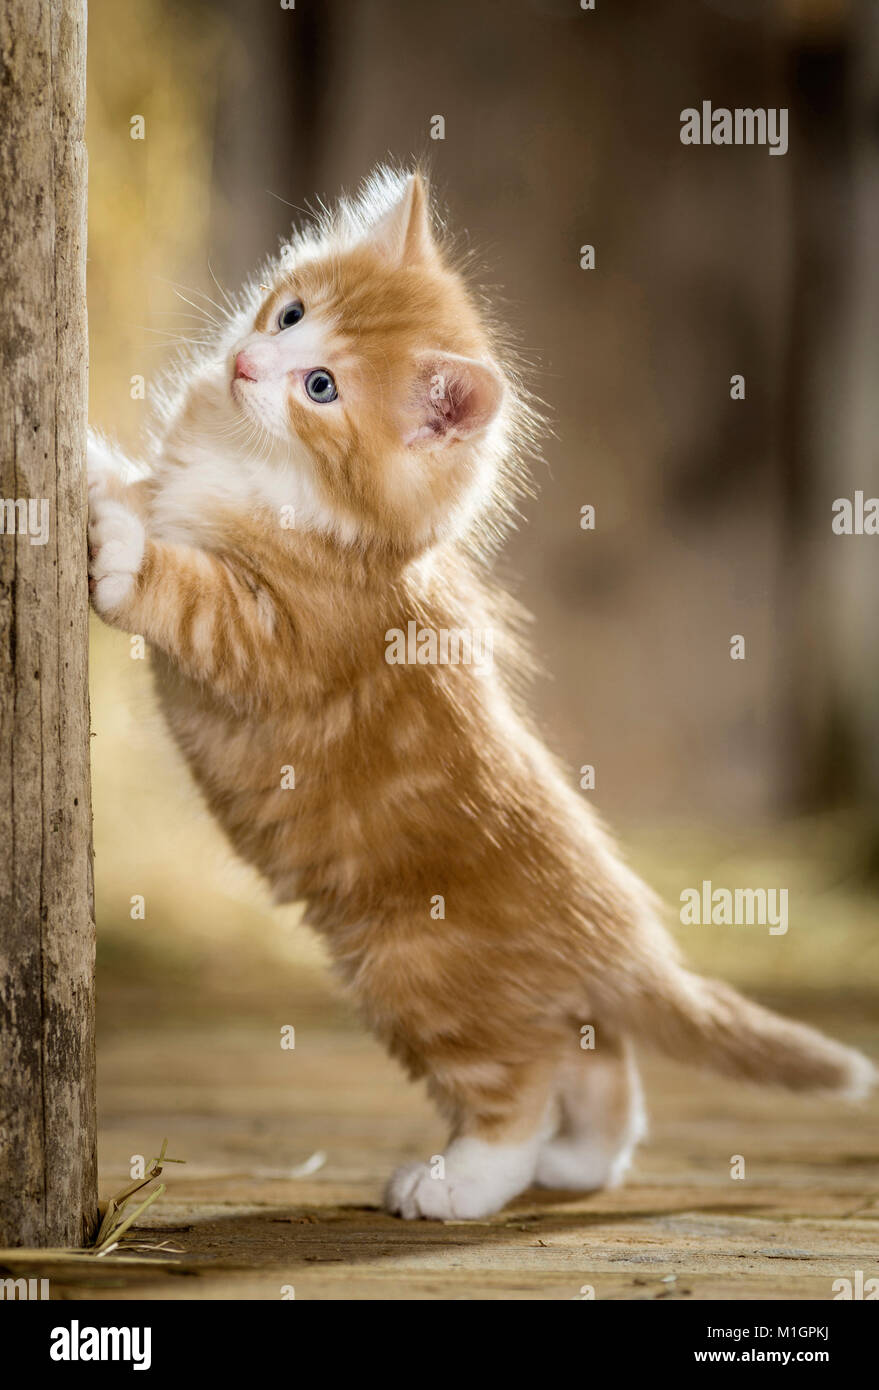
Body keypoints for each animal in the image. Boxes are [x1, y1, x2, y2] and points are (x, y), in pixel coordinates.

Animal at [87, 170, 873, 1217]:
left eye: (320, 386)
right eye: (290, 313)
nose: (250, 362)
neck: (264, 471)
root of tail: (614, 927)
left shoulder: (277, 634)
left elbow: (185, 588)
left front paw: (118, 546)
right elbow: (147, 490)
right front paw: (100, 476)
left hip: (423, 980)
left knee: (524, 1087)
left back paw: (460, 1183)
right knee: (599, 1063)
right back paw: (581, 1164)